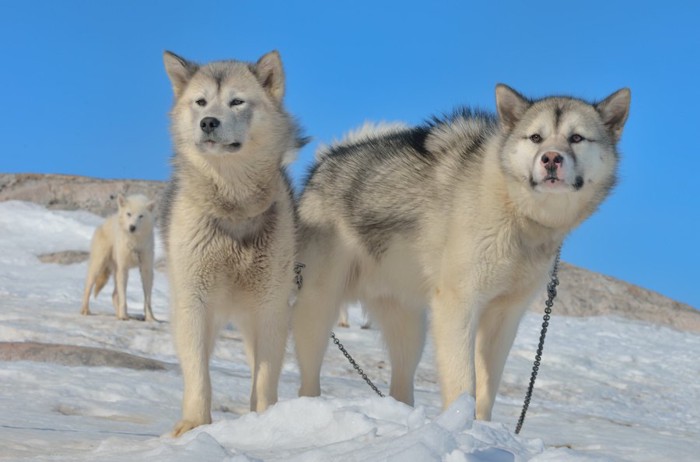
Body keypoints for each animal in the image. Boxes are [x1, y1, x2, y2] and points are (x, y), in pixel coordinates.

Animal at [80, 192, 156, 322]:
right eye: (129, 214)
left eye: (141, 216)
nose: (132, 227)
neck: (134, 243)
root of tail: (104, 223)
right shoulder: (123, 269)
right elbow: (123, 298)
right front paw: (123, 316)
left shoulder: (146, 270)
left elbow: (148, 300)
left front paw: (150, 318)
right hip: (98, 266)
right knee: (87, 288)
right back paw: (85, 310)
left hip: (115, 272)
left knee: (114, 295)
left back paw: (119, 314)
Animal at [161, 50, 304, 436]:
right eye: (200, 102)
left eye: (237, 102)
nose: (208, 122)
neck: (233, 205)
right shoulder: (193, 303)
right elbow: (198, 373)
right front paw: (193, 425)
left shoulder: (270, 307)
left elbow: (265, 377)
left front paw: (266, 421)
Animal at [292, 85, 632, 420]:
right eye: (536, 137)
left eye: (576, 138)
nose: (551, 158)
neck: (514, 209)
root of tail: (324, 164)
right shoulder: (459, 305)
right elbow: (463, 381)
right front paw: (462, 425)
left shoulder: (504, 317)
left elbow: (487, 389)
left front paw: (483, 429)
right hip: (318, 309)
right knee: (307, 378)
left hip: (410, 328)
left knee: (401, 383)